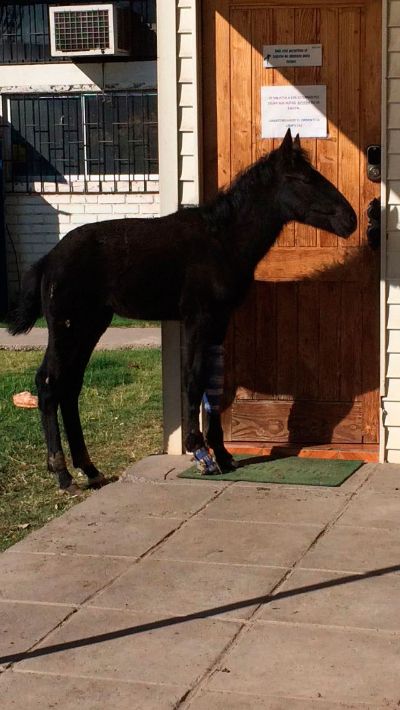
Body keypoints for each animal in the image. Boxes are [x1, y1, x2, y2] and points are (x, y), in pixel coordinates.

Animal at [7, 129, 356, 496]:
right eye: (302, 178)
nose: (350, 219)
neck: (221, 241)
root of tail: (48, 260)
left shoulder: (218, 322)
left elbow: (214, 384)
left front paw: (223, 453)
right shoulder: (197, 319)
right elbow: (194, 378)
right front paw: (201, 453)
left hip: (90, 326)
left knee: (70, 387)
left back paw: (90, 469)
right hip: (67, 327)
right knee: (49, 384)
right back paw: (63, 474)